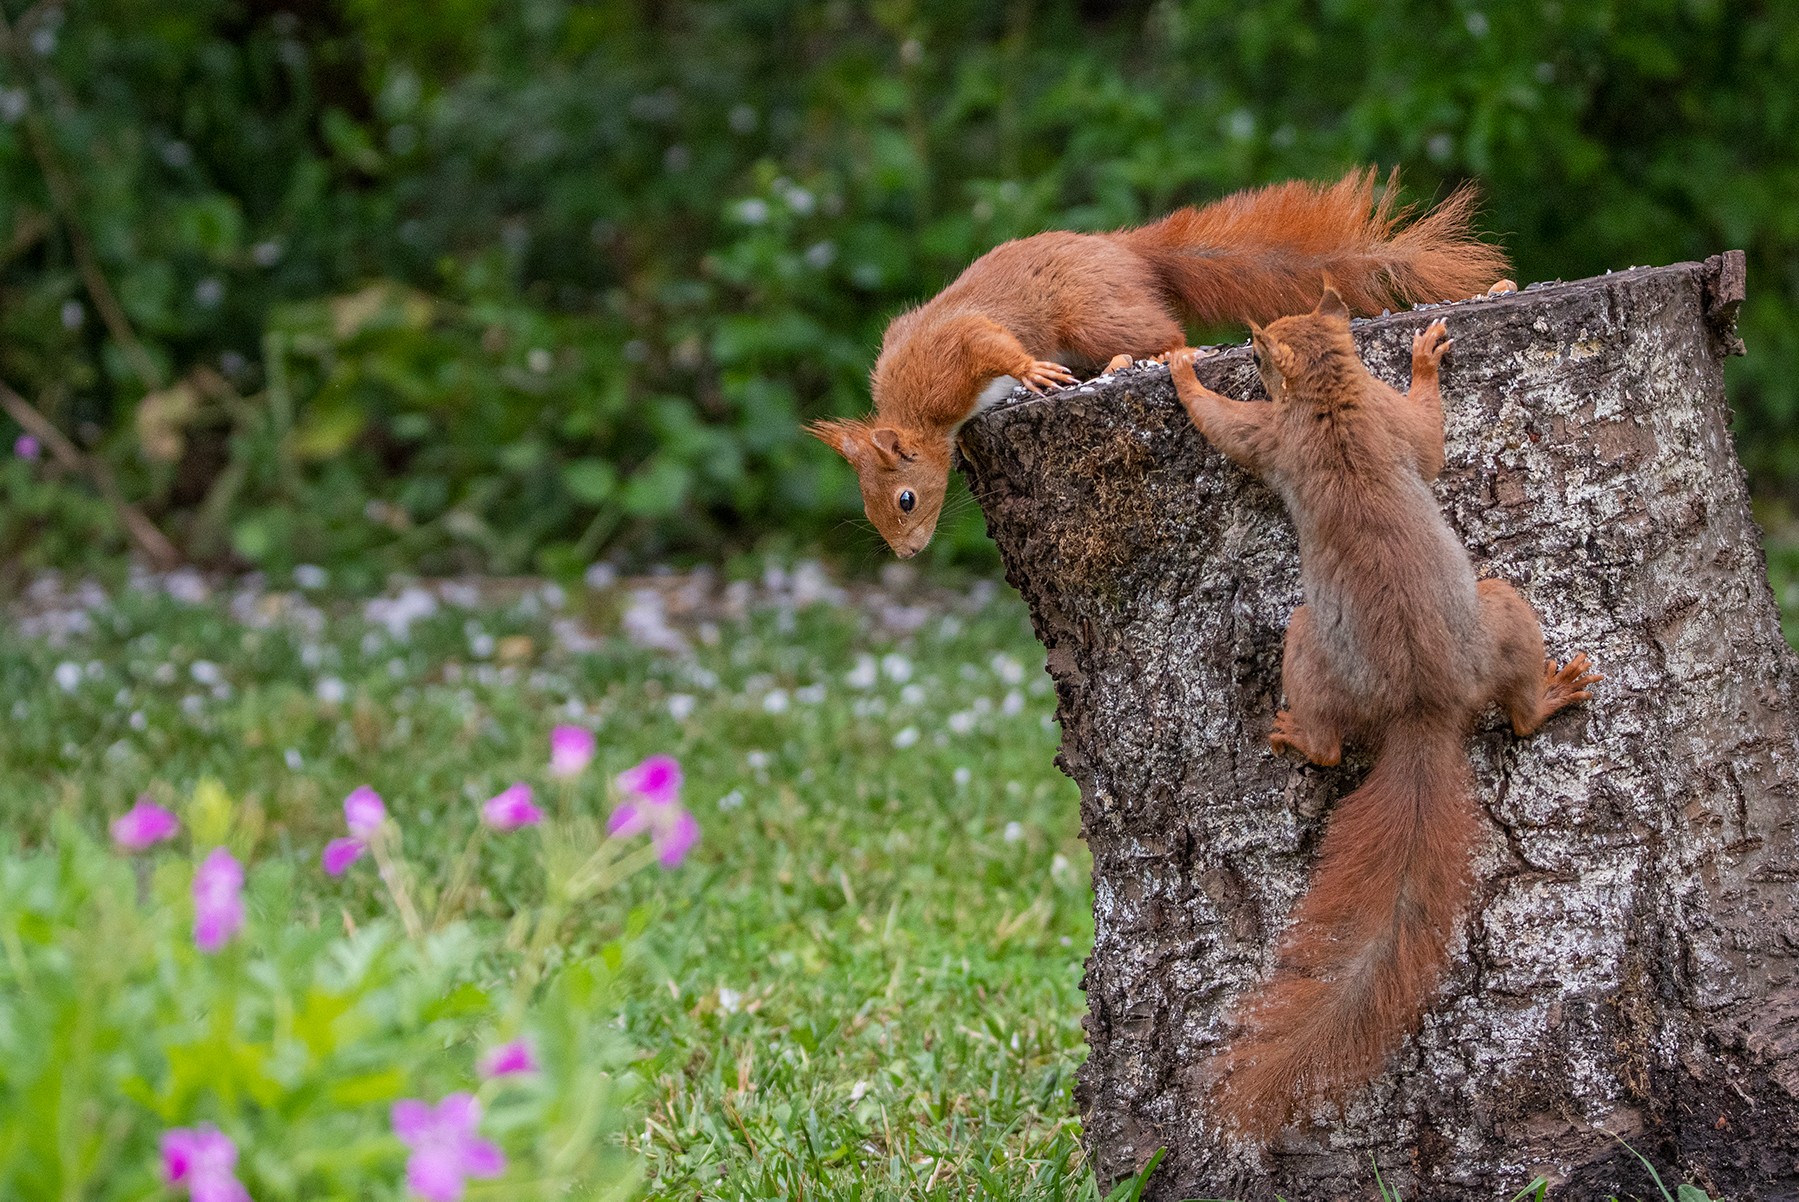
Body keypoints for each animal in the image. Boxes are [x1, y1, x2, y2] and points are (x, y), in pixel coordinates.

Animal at [813, 169, 1503, 557]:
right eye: (870, 509)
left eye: (905, 500)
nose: (906, 554)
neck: (918, 413)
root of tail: (1123, 250)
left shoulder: (954, 351)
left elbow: (992, 344)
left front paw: (1032, 373)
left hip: (1093, 314)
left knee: (1163, 331)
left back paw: (1146, 355)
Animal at [1165, 291, 1604, 1137]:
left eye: (1260, 351)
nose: (1242, 345)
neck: (1333, 396)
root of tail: (1420, 710)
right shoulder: (1354, 425)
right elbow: (1424, 444)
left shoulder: (1283, 435)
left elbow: (1227, 426)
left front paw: (1179, 371)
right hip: (1486, 616)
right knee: (1511, 715)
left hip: (1323, 637)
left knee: (1347, 745)